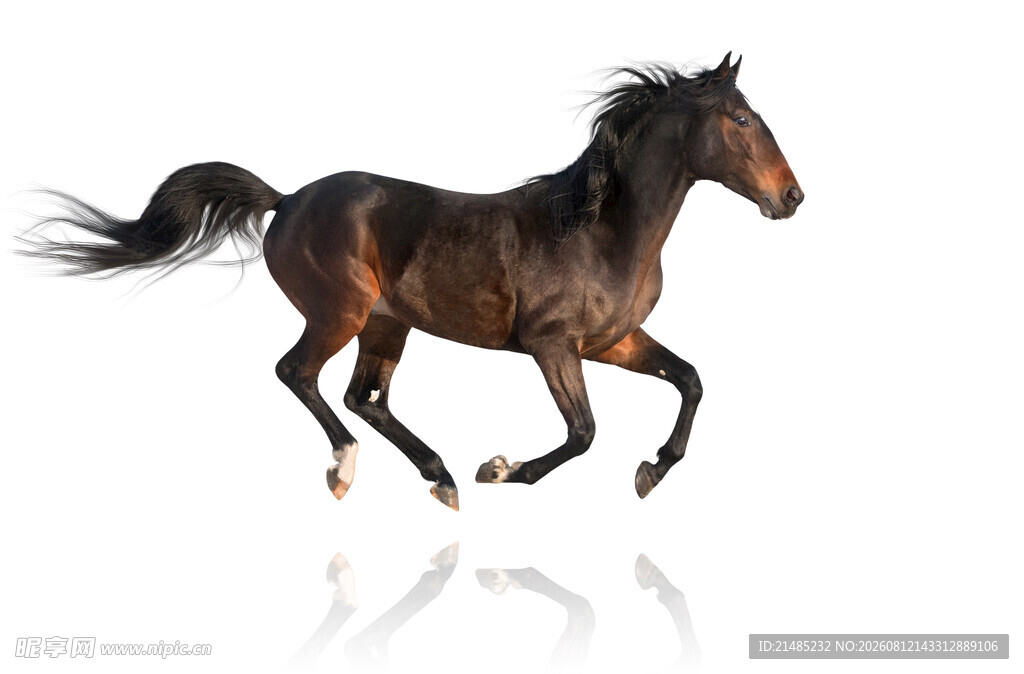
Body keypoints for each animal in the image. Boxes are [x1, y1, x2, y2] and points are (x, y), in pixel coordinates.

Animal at [22, 54, 803, 511]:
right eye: (740, 119)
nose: (791, 197)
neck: (600, 229)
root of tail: (286, 200)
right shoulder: (553, 345)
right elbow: (583, 432)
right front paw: (500, 470)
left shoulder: (614, 341)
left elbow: (691, 380)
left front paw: (652, 471)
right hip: (340, 314)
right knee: (299, 375)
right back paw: (350, 471)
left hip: (387, 323)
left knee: (363, 396)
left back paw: (439, 476)